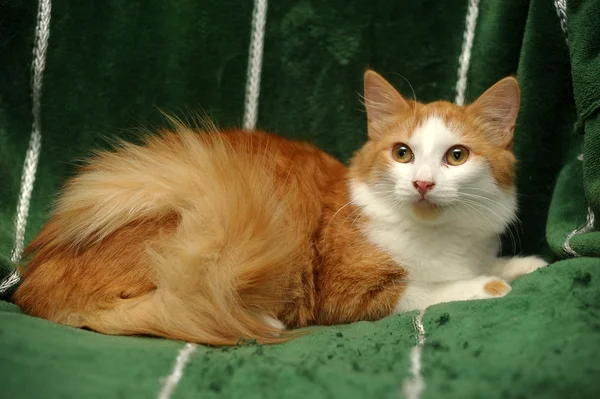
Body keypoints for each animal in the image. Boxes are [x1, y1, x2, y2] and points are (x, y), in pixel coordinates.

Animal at [11, 70, 548, 346]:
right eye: (403, 153)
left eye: (456, 156)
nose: (421, 183)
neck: (441, 236)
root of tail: (30, 281)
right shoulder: (347, 294)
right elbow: (431, 290)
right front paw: (487, 284)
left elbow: (491, 261)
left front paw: (523, 263)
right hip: (212, 218)